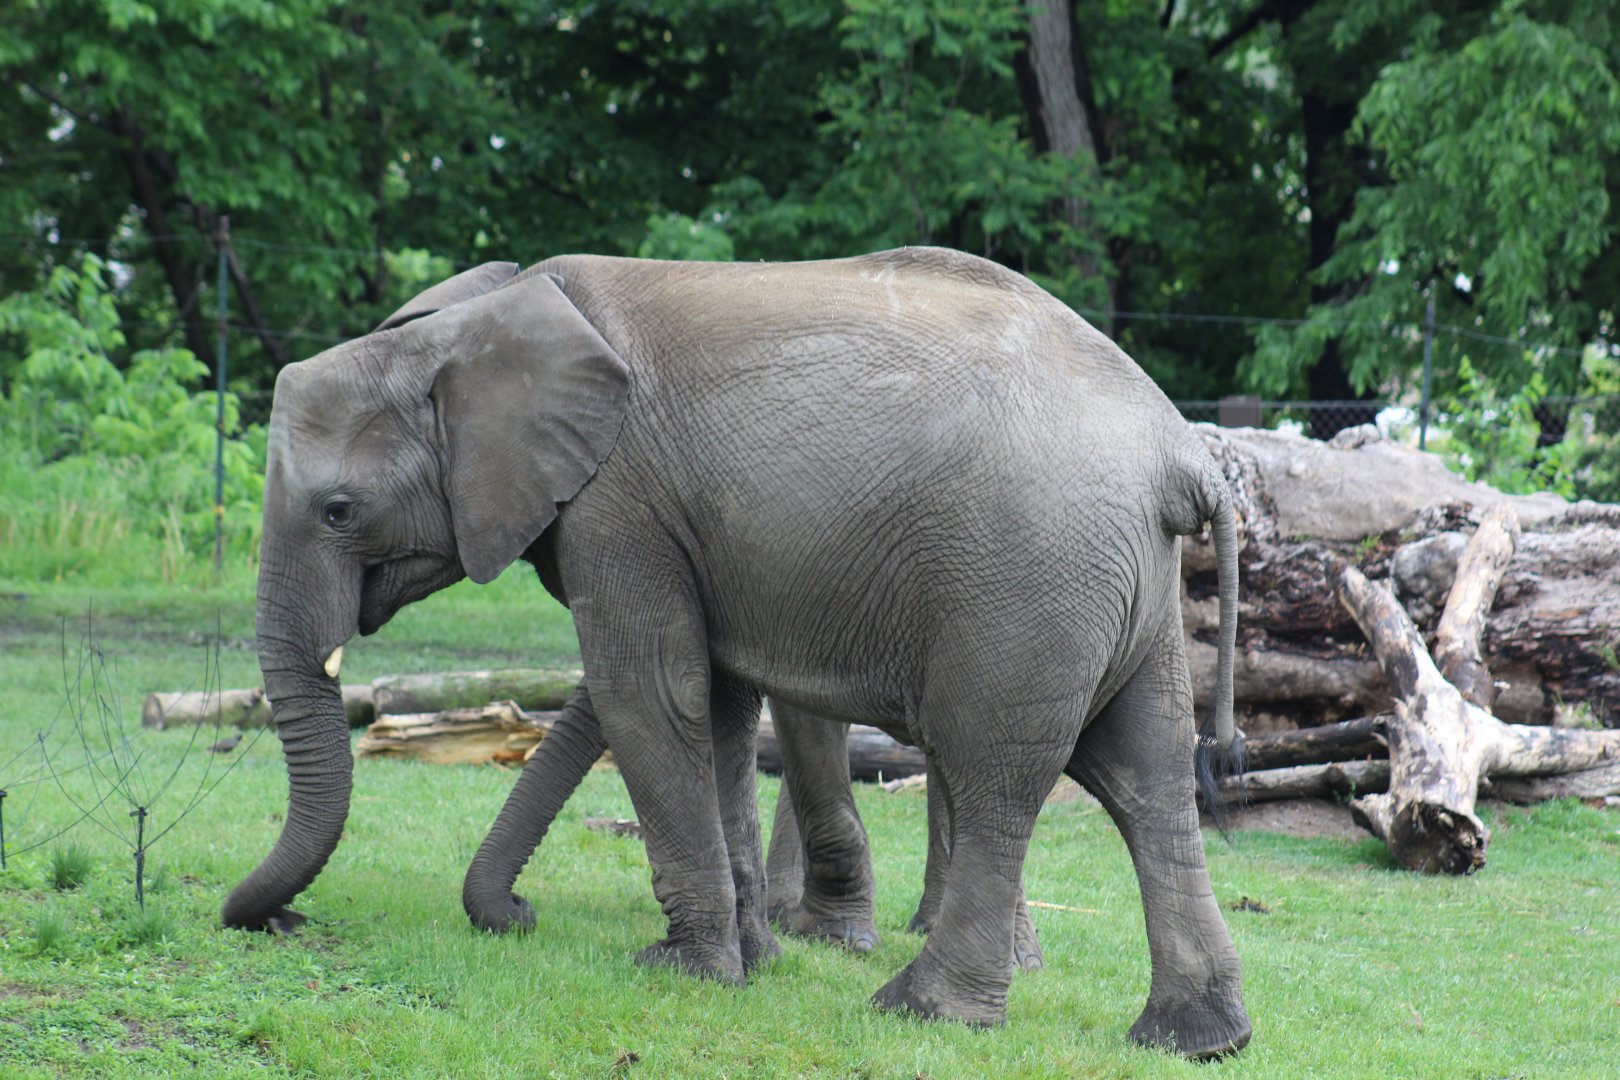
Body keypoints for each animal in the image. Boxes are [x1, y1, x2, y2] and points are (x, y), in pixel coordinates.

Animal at [226, 246, 1247, 1056]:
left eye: (338, 511)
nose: (280, 919)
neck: (479, 323)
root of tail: (1180, 453)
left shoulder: (620, 501)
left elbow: (645, 691)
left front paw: (680, 970)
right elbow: (712, 707)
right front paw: (752, 961)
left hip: (1030, 581)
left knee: (999, 772)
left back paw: (921, 1013)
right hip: (1126, 590)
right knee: (1147, 777)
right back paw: (1194, 1041)